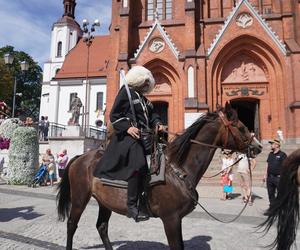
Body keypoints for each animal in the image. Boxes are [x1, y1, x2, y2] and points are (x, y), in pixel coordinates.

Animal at [56, 102, 262, 249]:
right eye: (241, 127)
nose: (258, 147)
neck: (178, 168)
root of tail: (81, 157)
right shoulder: (170, 219)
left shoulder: (177, 219)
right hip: (80, 198)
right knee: (72, 225)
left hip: (105, 202)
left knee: (102, 227)